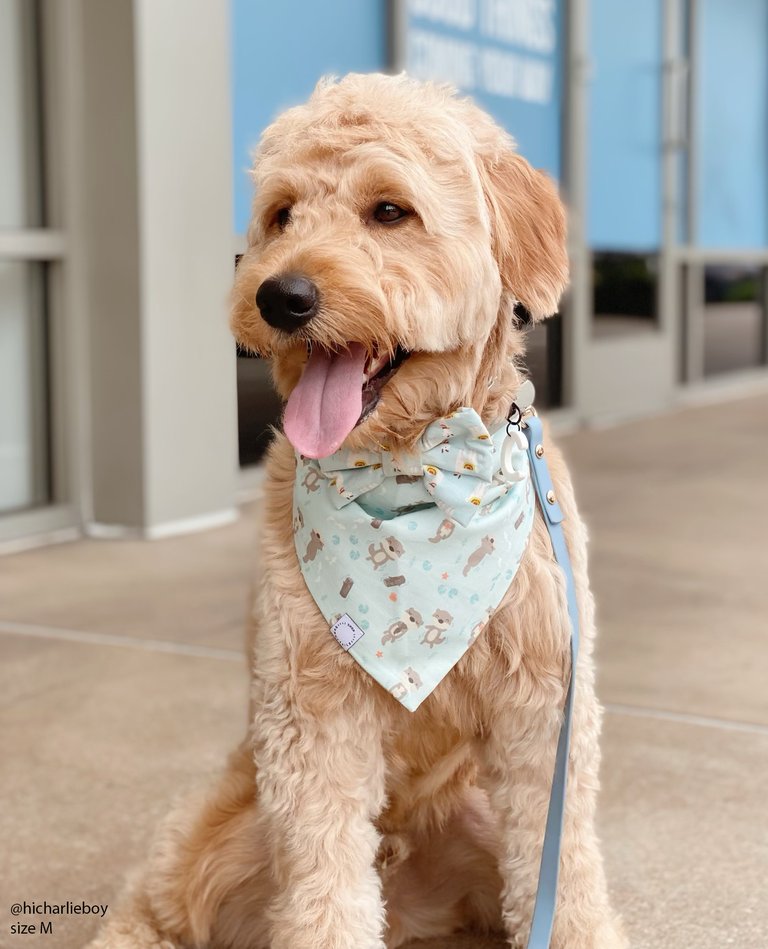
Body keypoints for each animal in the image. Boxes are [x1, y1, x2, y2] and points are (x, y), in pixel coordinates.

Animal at [91, 72, 632, 948]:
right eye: (282, 216)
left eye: (389, 210)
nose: (280, 295)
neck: (416, 479)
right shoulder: (313, 713)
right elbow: (324, 885)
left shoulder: (545, 702)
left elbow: (567, 869)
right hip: (217, 830)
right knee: (158, 901)